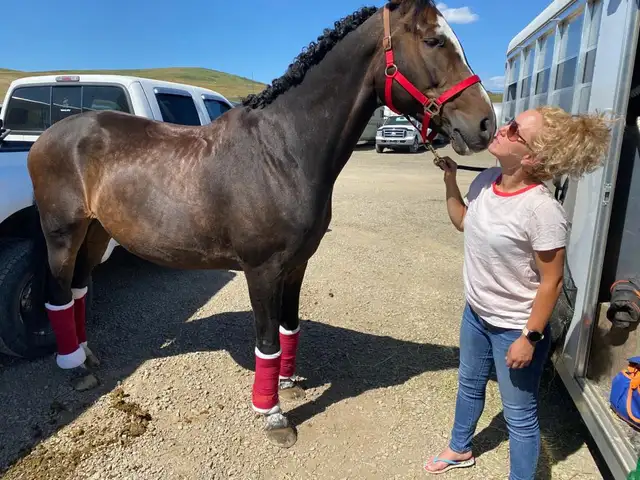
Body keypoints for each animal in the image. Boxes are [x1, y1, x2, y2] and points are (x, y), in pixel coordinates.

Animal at [27, 0, 496, 448]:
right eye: (433, 40)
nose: (486, 123)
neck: (282, 150)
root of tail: (49, 135)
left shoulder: (297, 265)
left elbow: (289, 327)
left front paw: (287, 384)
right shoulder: (263, 270)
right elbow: (267, 340)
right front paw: (272, 415)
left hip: (95, 232)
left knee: (79, 289)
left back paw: (87, 356)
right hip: (62, 234)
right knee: (58, 294)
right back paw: (74, 367)